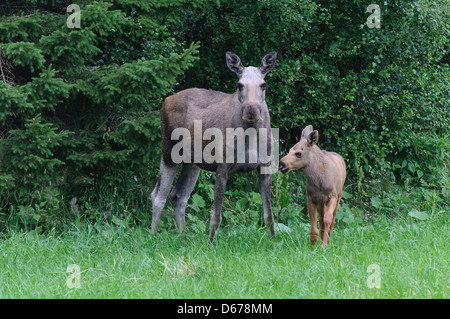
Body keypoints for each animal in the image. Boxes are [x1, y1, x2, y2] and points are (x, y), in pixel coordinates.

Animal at [151, 50, 278, 242]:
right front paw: (210, 244)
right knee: (158, 196)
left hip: (193, 162)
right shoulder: (222, 166)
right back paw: (153, 236)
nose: (251, 112)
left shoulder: (264, 166)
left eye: (264, 84)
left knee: (178, 196)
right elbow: (216, 217)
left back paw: (183, 236)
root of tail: (165, 100)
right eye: (239, 84)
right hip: (169, 151)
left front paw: (273, 242)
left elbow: (269, 215)